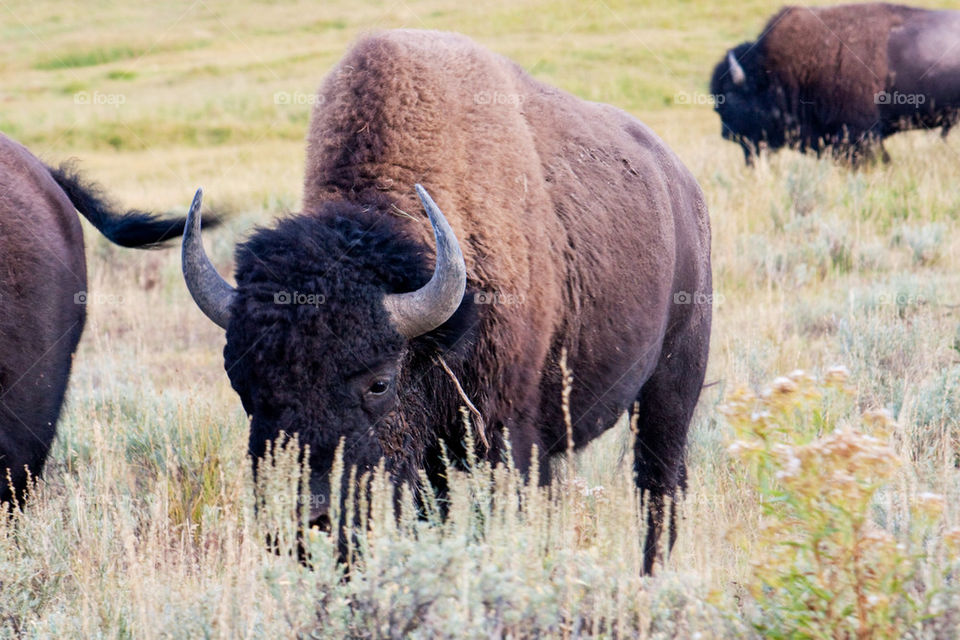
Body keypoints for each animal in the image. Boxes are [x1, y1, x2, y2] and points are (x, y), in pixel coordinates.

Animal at [181, 29, 712, 573]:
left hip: (672, 384)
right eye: (241, 383)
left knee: (658, 487)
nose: (308, 521)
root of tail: (682, 187)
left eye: (379, 383)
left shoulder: (509, 436)